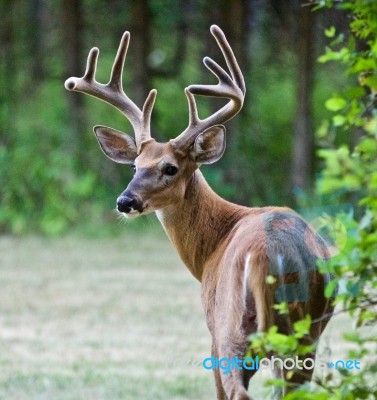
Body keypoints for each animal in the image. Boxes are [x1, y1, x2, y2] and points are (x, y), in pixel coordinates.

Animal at [64, 25, 332, 400]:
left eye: (170, 168)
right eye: (134, 165)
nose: (124, 201)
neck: (210, 248)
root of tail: (267, 256)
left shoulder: (212, 330)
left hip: (232, 328)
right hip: (304, 336)